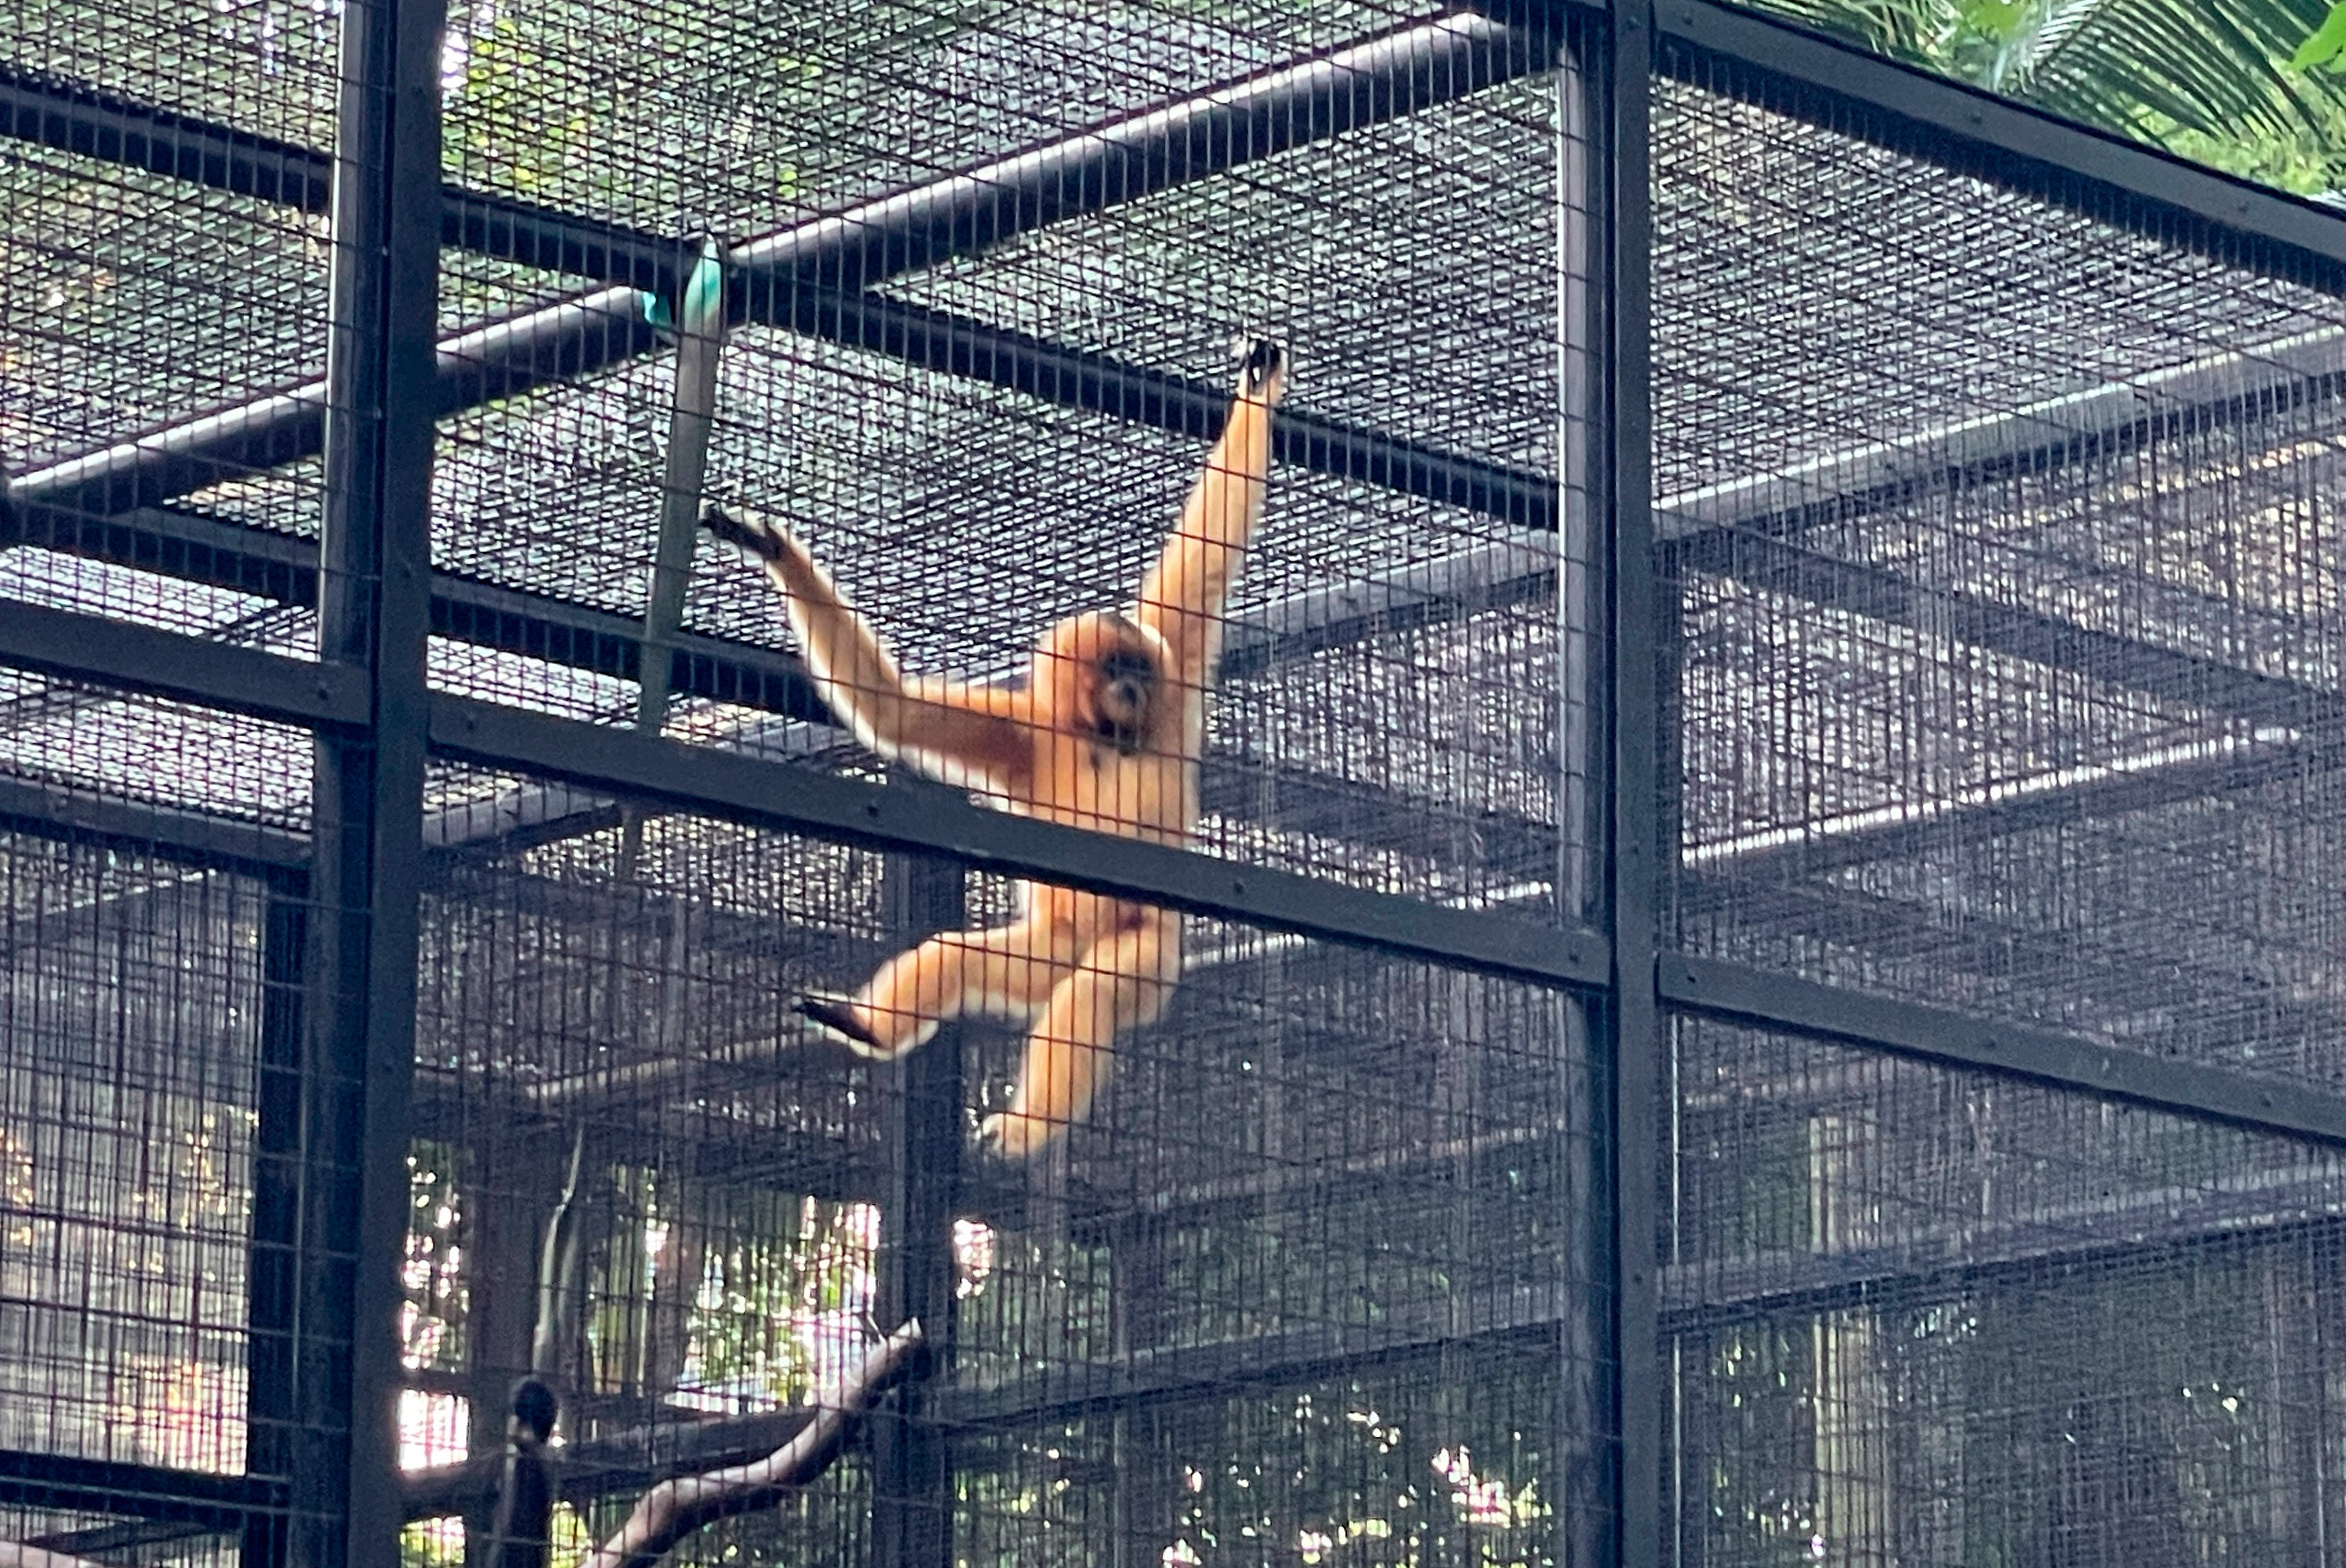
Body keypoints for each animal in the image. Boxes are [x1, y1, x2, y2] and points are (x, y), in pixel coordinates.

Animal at [701, 337, 1287, 1159]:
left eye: (1137, 668)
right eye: (1114, 667)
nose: (1131, 686)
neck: (1097, 735)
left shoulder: (1172, 688)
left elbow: (1204, 554)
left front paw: (1258, 388)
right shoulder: (1026, 733)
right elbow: (898, 713)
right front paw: (775, 550)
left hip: (1146, 948)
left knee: (1092, 991)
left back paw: (1023, 1125)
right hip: (1041, 947)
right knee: (957, 954)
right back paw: (868, 1027)